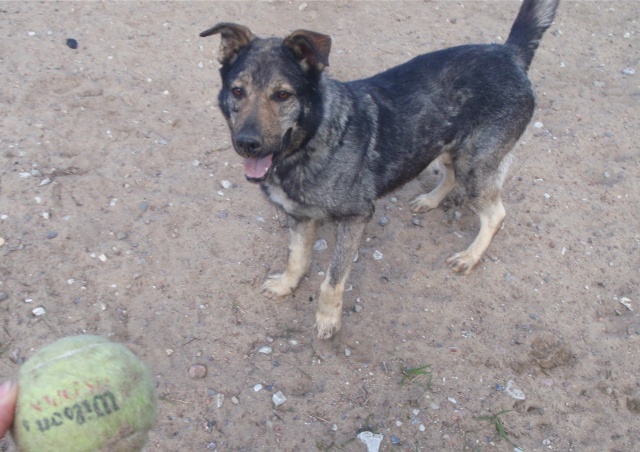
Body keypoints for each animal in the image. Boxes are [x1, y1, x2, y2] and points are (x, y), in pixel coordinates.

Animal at [200, 0, 559, 339]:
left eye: (282, 95)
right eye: (237, 91)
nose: (247, 143)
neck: (311, 142)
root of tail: (509, 53)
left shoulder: (355, 218)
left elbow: (332, 280)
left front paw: (327, 320)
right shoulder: (300, 217)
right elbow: (296, 258)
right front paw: (287, 285)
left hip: (475, 165)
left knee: (496, 214)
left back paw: (470, 256)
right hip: (445, 144)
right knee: (450, 174)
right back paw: (430, 200)